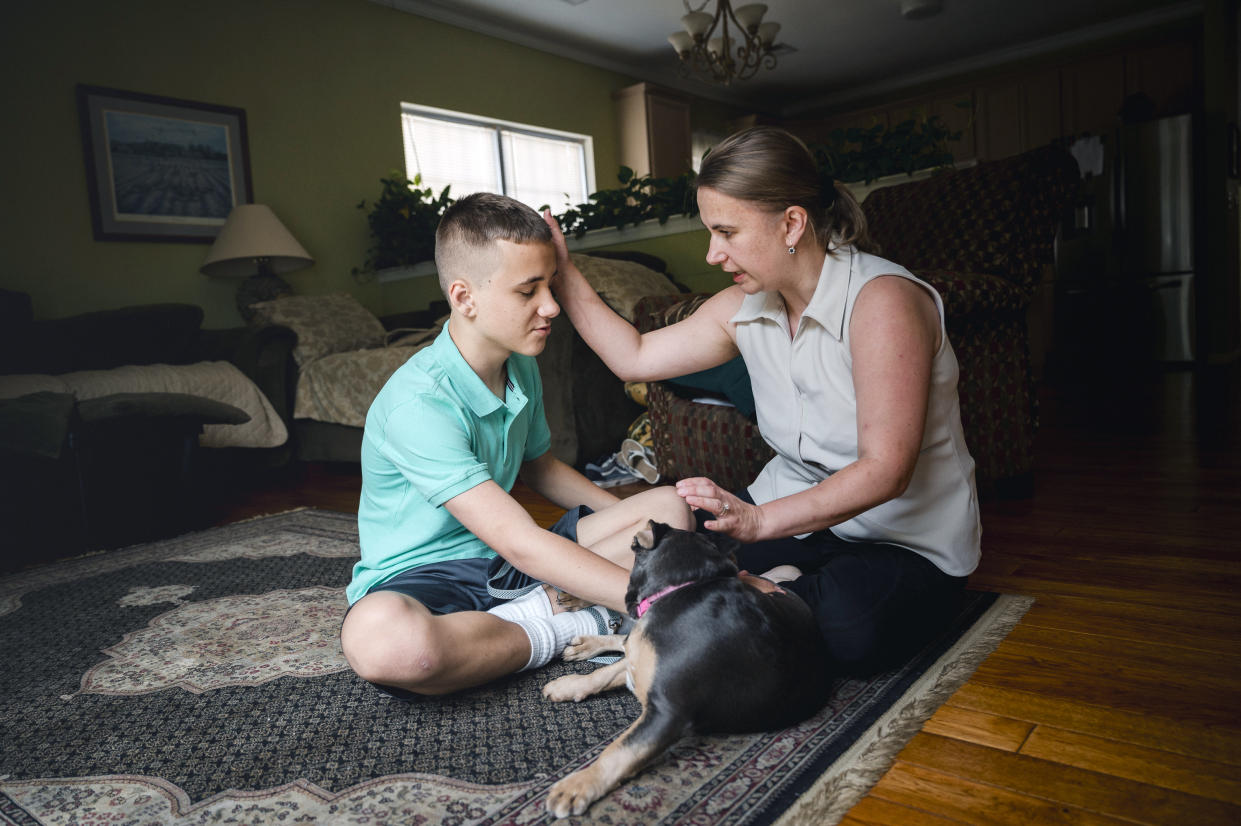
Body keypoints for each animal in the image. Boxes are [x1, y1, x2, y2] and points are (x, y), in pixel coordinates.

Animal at [543, 518, 833, 813]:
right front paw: (570, 686)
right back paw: (583, 632)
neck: (684, 587)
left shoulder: (668, 712)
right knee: (622, 641)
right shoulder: (643, 659)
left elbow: (621, 748)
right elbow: (605, 672)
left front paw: (577, 785)